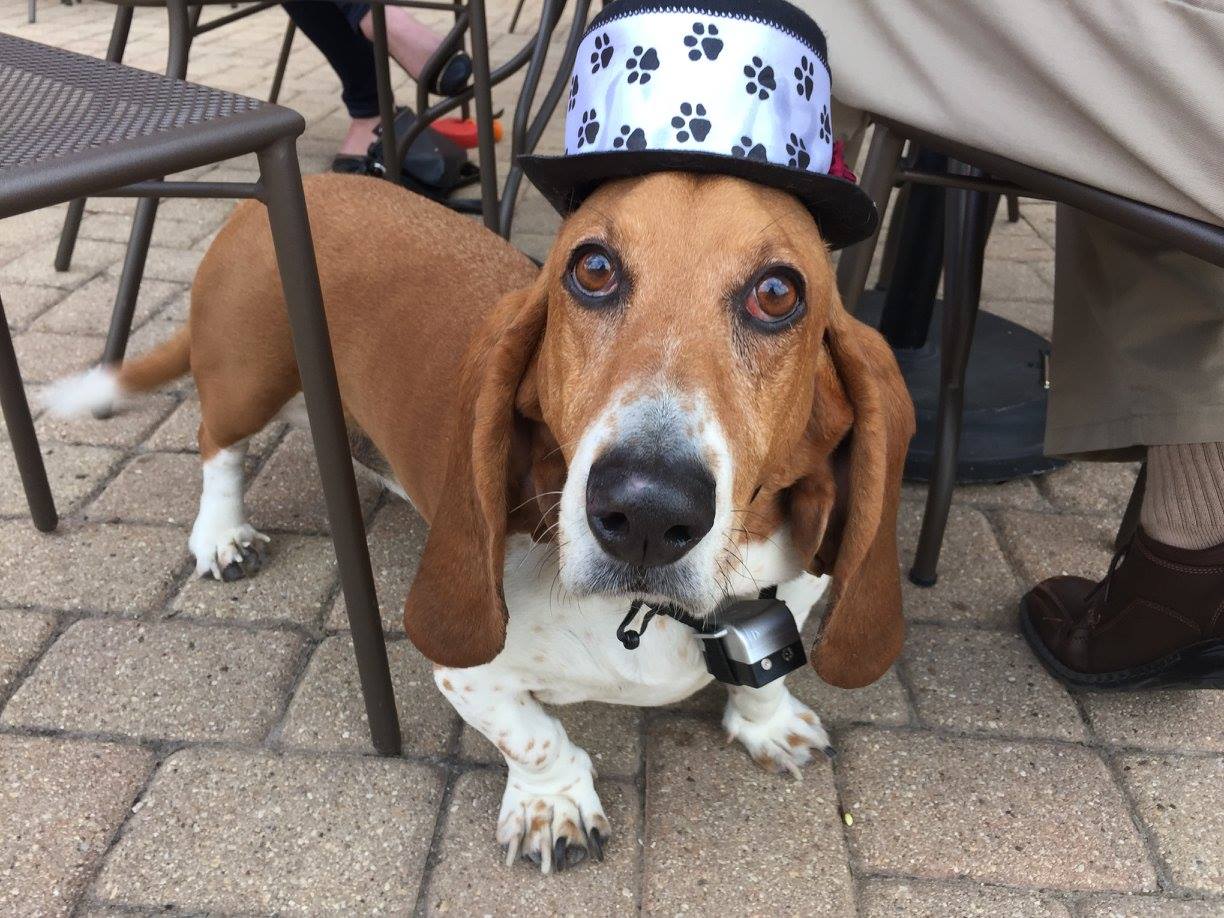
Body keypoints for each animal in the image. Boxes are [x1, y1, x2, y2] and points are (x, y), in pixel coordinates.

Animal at [45, 171, 910, 876]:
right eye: (592, 269)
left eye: (779, 294)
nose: (645, 509)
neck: (653, 613)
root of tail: (289, 191)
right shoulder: (466, 669)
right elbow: (531, 732)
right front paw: (552, 805)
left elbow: (770, 673)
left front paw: (770, 723)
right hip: (249, 373)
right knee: (215, 445)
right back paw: (221, 534)